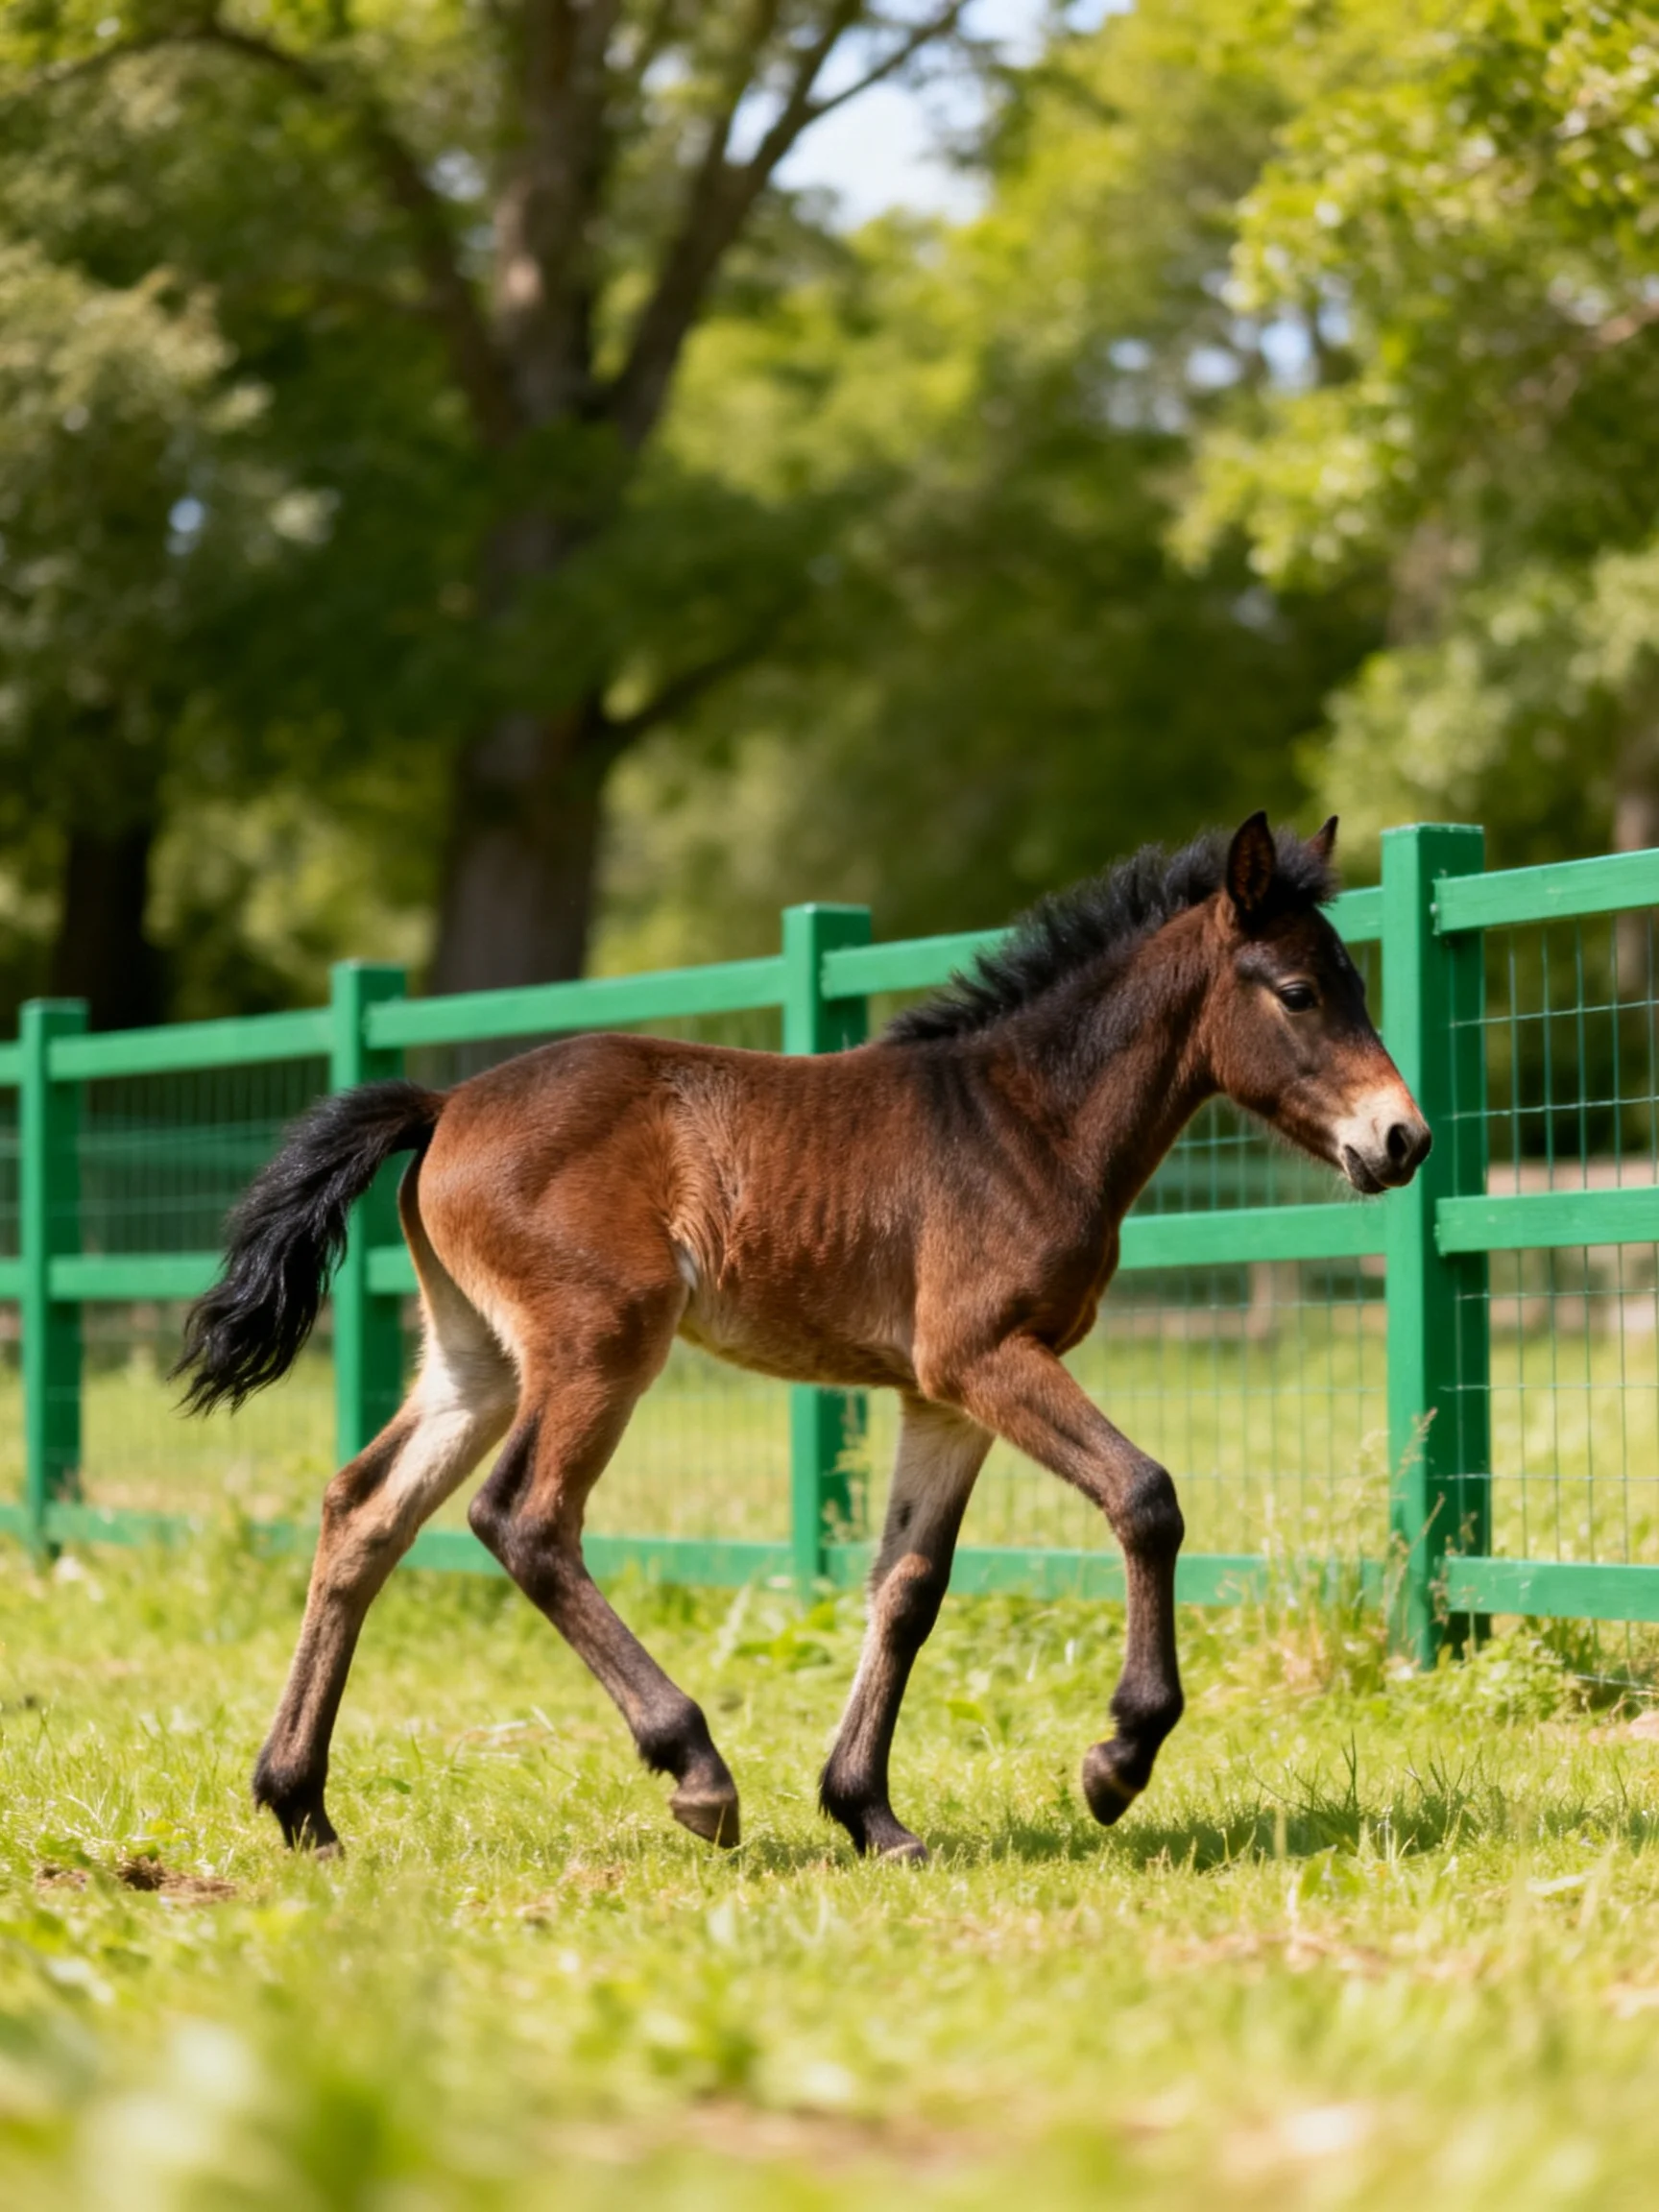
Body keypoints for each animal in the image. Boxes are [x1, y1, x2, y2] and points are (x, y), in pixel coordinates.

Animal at [175, 811, 1428, 1862]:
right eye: (1300, 991)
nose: (1402, 1138)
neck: (1026, 1121)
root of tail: (442, 1110)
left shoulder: (943, 1396)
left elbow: (908, 1585)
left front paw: (870, 1814)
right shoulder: (988, 1357)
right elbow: (1146, 1497)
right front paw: (1119, 1758)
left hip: (475, 1362)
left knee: (364, 1513)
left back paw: (300, 1807)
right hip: (599, 1345)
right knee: (522, 1517)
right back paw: (696, 1770)